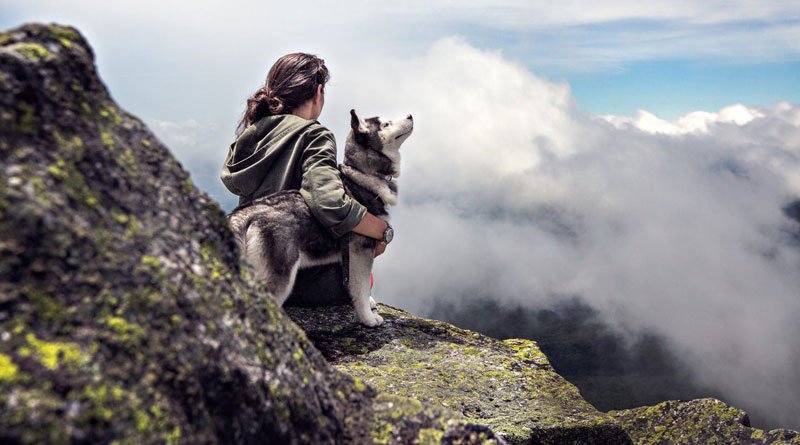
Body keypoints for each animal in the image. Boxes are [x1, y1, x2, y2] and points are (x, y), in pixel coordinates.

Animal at [227, 110, 410, 326]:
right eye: (386, 124)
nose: (410, 115)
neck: (361, 175)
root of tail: (246, 212)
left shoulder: (349, 257)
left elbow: (355, 286)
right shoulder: (361, 251)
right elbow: (362, 288)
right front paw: (367, 318)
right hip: (280, 275)